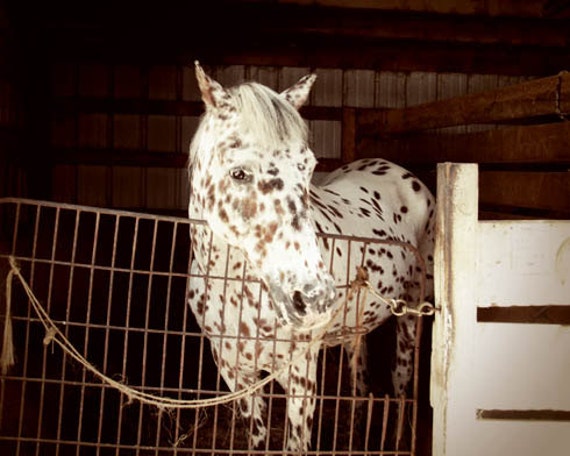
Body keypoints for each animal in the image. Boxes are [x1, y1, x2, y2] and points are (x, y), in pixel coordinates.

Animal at [186, 62, 434, 454]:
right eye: (238, 172)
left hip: (411, 311)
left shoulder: (301, 375)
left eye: (307, 167)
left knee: (400, 380)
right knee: (359, 377)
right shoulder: (235, 373)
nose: (314, 297)